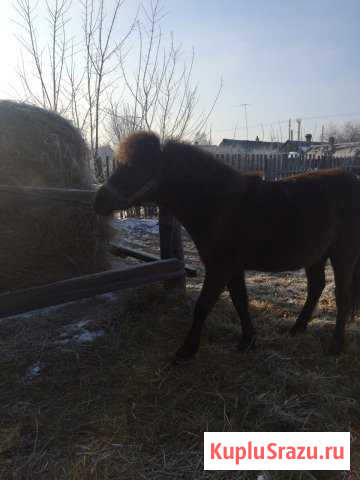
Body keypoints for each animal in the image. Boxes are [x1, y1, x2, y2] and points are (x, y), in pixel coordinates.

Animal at [94, 133, 360, 358]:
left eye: (134, 168)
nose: (98, 201)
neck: (216, 203)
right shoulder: (233, 268)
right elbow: (240, 301)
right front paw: (247, 340)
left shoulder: (219, 268)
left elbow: (203, 306)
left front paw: (187, 350)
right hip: (316, 255)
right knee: (316, 287)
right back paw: (297, 328)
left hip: (343, 254)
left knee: (342, 297)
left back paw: (335, 346)